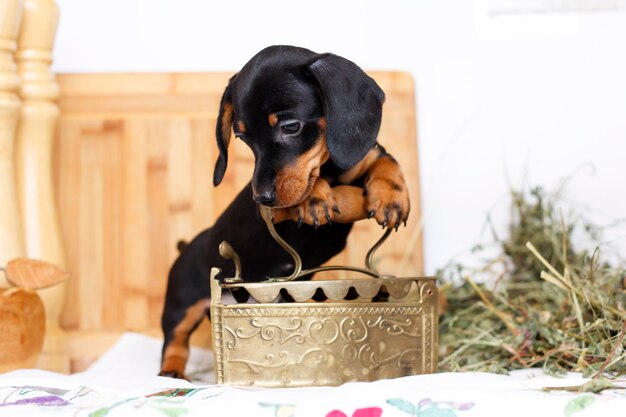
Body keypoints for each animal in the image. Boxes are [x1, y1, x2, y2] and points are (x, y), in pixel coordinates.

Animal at [158, 44, 408, 376]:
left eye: (290, 126)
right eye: (242, 137)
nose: (262, 197)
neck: (330, 169)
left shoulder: (361, 160)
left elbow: (385, 160)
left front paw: (392, 198)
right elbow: (307, 190)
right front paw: (315, 198)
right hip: (182, 301)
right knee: (175, 338)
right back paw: (171, 370)